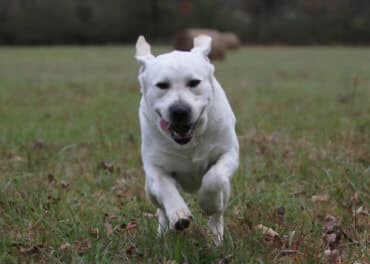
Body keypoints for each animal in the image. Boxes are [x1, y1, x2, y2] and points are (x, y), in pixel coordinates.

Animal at [134, 35, 238, 241]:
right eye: (162, 85)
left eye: (194, 82)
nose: (180, 110)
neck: (189, 142)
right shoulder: (155, 167)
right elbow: (166, 188)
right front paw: (179, 215)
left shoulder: (229, 152)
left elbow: (214, 178)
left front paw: (208, 203)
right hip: (149, 190)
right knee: (160, 210)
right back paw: (163, 232)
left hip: (227, 189)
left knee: (219, 211)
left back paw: (216, 236)